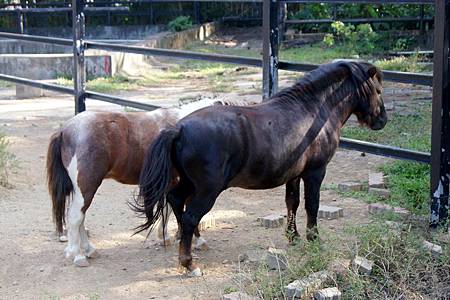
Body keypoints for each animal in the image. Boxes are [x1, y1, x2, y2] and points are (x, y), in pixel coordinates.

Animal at [133, 61, 386, 276]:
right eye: (378, 91)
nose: (382, 120)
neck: (313, 111)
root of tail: (180, 129)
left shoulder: (293, 175)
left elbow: (292, 203)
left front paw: (293, 237)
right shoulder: (315, 172)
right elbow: (312, 205)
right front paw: (314, 239)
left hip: (189, 184)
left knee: (177, 202)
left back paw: (196, 242)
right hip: (207, 190)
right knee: (189, 217)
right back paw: (189, 264)